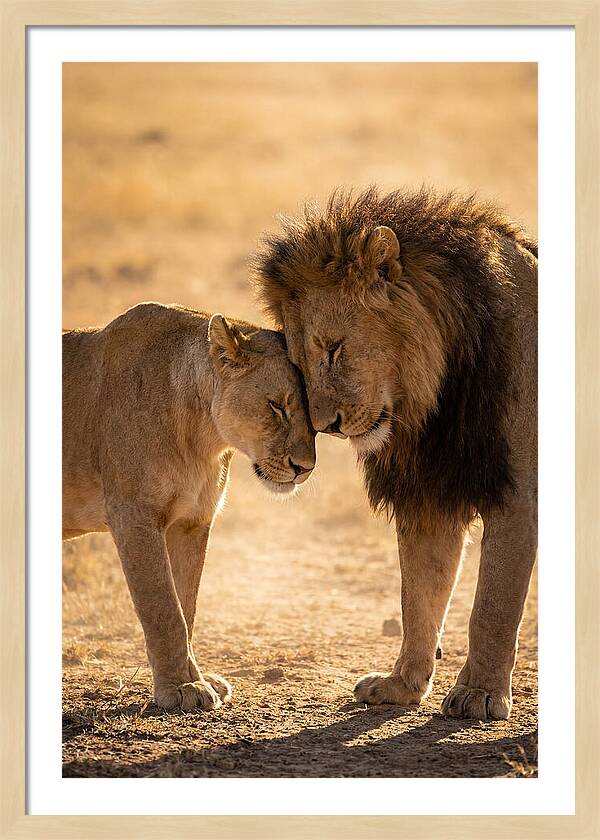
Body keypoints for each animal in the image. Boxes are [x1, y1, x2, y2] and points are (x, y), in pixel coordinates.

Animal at [63, 302, 316, 710]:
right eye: (277, 406)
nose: (304, 468)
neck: (203, 437)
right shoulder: (134, 515)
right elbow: (164, 608)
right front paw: (183, 686)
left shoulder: (192, 521)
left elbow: (187, 605)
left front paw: (197, 677)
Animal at [254, 187, 537, 720]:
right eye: (299, 364)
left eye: (334, 348)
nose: (326, 426)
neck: (434, 399)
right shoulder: (428, 496)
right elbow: (418, 597)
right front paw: (402, 685)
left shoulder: (518, 494)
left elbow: (492, 605)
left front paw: (479, 693)